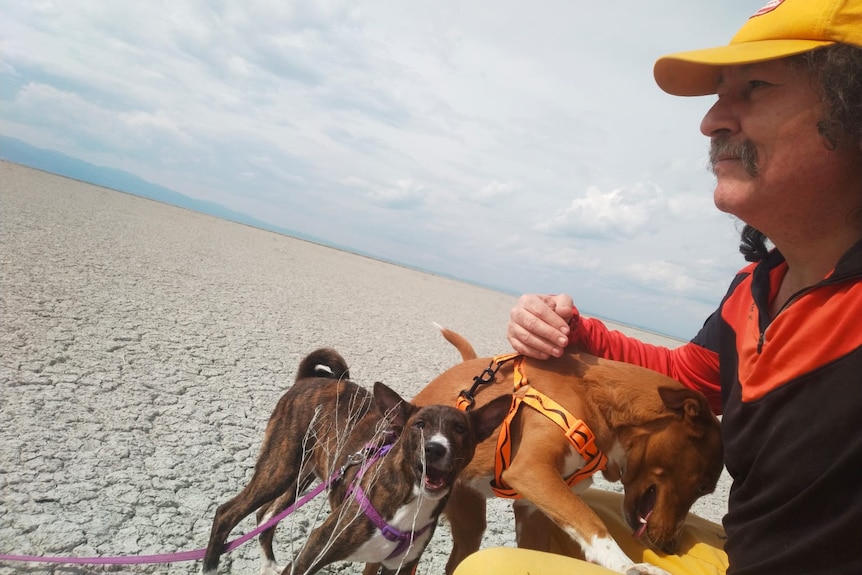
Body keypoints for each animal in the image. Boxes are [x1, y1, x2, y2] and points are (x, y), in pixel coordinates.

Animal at [202, 346, 512, 575]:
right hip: (280, 467)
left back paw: (267, 564)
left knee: (265, 515)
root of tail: (309, 379)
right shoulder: (314, 550)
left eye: (460, 429)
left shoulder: (398, 567)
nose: (434, 449)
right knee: (227, 512)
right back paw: (211, 566)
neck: (411, 499)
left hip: (305, 472)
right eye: (419, 425)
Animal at [416, 330, 724, 575]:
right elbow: (591, 521)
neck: (596, 398)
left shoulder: (531, 507)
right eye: (703, 487)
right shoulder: (532, 470)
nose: (672, 547)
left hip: (469, 519)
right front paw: (630, 565)